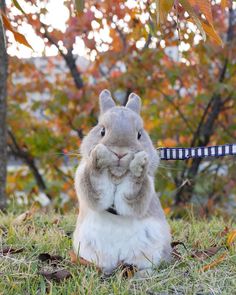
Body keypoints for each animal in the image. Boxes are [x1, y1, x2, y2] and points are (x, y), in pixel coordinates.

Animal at [73, 89, 171, 276]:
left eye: (139, 134)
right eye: (102, 131)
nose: (119, 153)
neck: (117, 176)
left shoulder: (138, 196)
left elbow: (135, 187)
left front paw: (140, 164)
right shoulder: (91, 187)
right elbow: (94, 179)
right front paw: (98, 156)